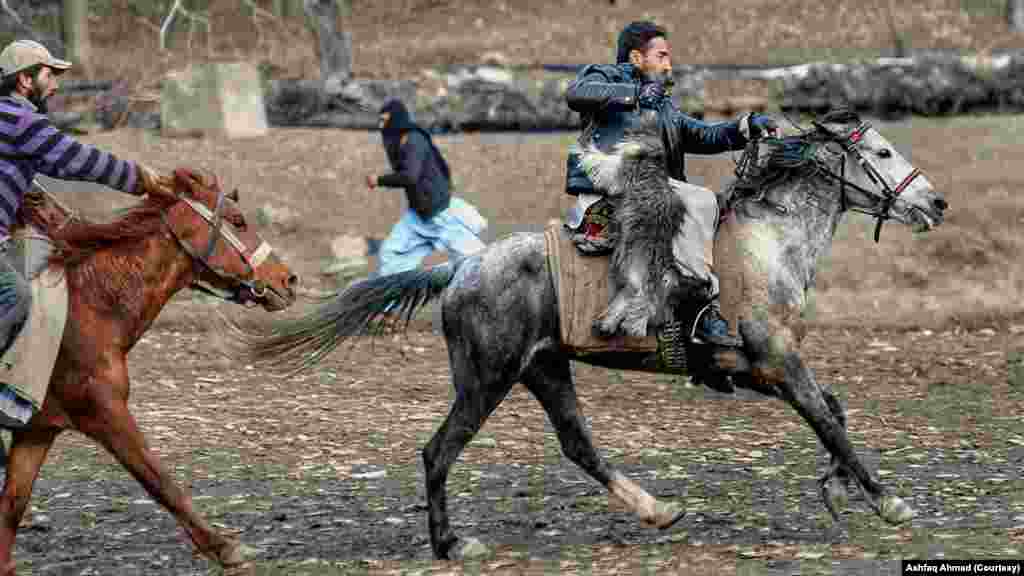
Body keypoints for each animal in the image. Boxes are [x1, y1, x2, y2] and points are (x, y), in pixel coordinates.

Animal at [0, 168, 299, 569]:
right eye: (238, 220)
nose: (288, 279)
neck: (91, 306)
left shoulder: (37, 431)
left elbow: (11, 507)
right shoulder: (106, 414)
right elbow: (160, 481)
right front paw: (224, 547)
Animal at [230, 107, 942, 557]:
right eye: (881, 152)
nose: (935, 203)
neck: (766, 244)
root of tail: (461, 267)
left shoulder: (756, 368)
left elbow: (834, 412)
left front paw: (838, 488)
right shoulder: (777, 362)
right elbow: (829, 421)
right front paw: (887, 501)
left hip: (545, 369)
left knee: (578, 445)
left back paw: (657, 510)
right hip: (487, 380)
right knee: (438, 451)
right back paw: (452, 544)